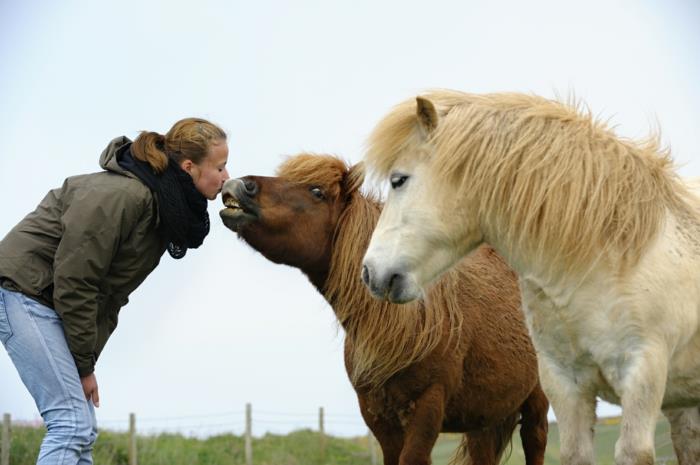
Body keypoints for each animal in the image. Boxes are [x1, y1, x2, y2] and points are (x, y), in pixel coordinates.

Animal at [221, 154, 548, 464]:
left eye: (317, 191)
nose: (239, 185)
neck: (408, 320)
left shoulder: (427, 406)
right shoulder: (377, 415)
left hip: (535, 402)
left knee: (536, 441)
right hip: (484, 418)